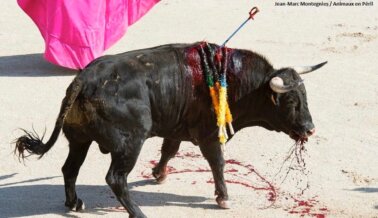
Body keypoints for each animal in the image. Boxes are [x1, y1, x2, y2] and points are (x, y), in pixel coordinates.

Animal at [14, 42, 324, 218]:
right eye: (292, 101)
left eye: (306, 97)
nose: (310, 130)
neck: (235, 80)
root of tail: (83, 79)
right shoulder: (209, 135)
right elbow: (218, 163)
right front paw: (223, 198)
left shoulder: (175, 128)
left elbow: (169, 150)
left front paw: (159, 174)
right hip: (129, 144)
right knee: (115, 178)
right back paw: (138, 213)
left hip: (79, 139)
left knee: (70, 168)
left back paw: (74, 203)